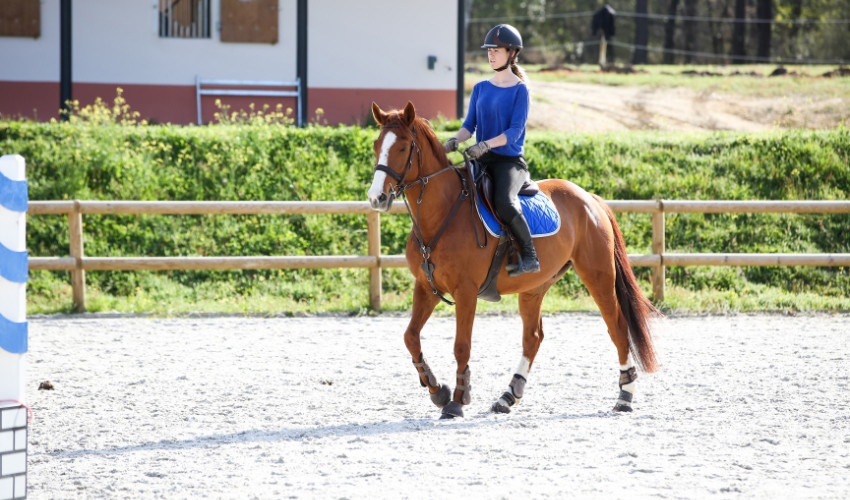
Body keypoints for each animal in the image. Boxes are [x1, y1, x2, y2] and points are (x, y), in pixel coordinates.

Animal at [367, 101, 660, 419]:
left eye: (403, 147)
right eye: (377, 145)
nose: (376, 198)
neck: (442, 213)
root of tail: (590, 198)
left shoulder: (465, 292)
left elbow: (461, 346)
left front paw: (457, 400)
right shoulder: (427, 287)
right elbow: (410, 337)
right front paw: (438, 391)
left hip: (598, 277)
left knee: (616, 326)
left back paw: (625, 394)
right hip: (534, 287)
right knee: (533, 337)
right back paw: (508, 396)